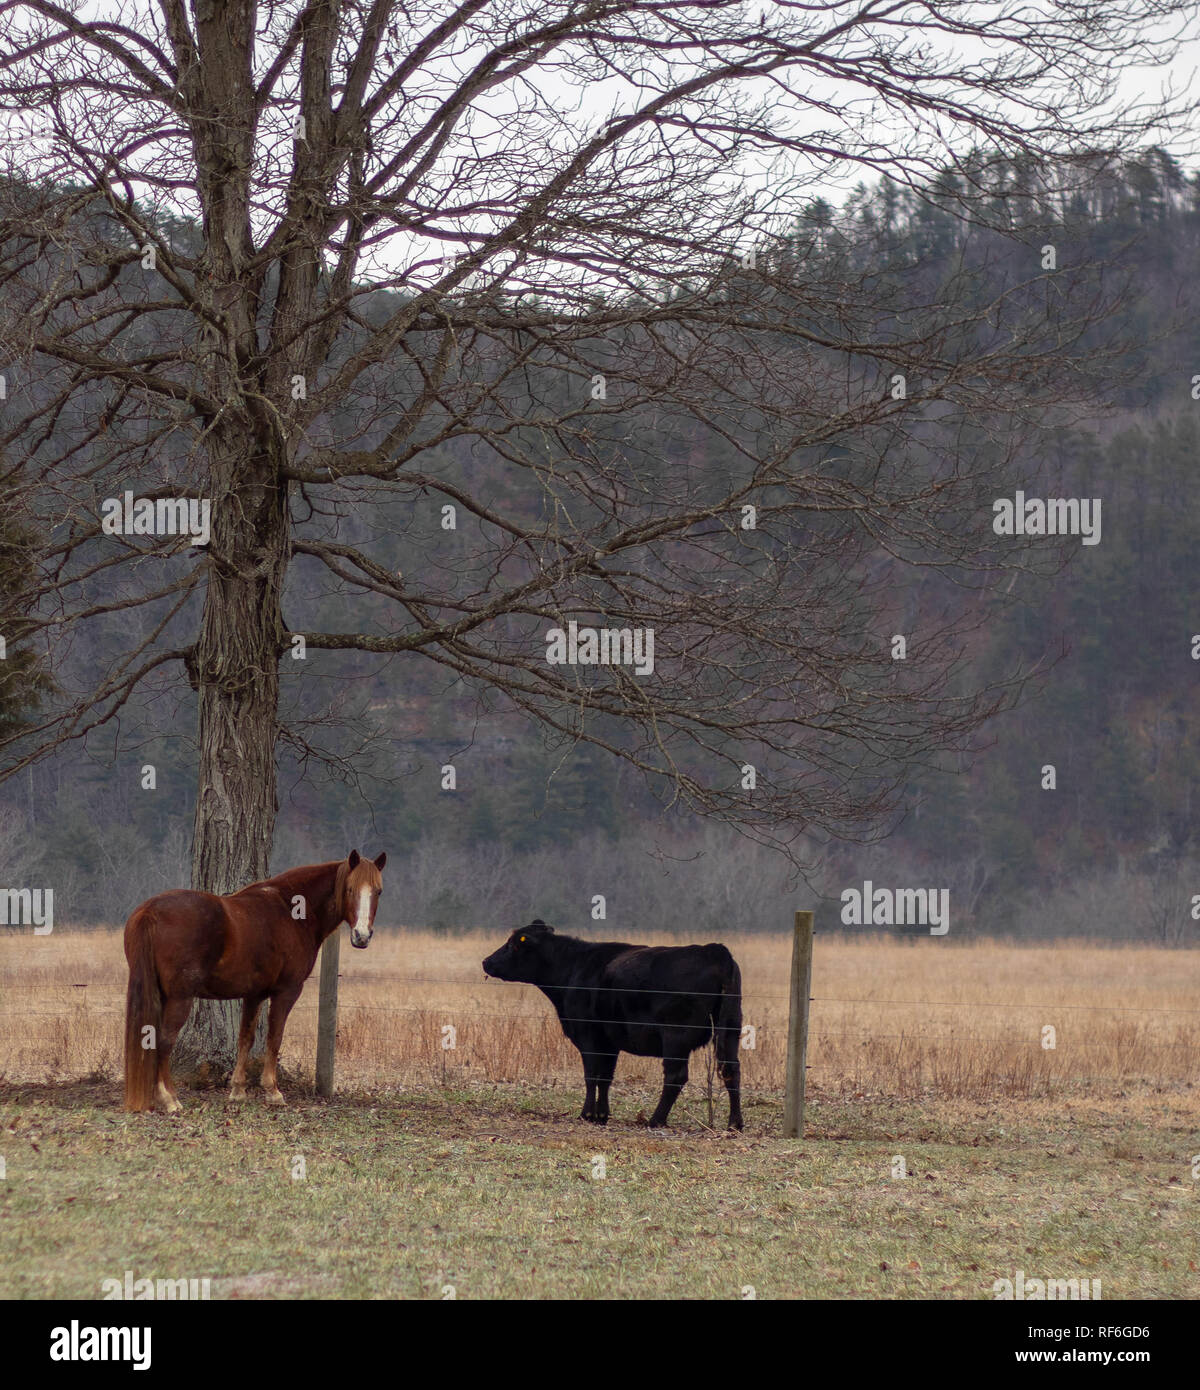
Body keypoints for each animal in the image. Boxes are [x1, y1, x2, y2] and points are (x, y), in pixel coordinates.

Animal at [123, 850, 383, 1112]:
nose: (362, 936)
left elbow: (245, 1039)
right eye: (349, 889)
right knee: (164, 1041)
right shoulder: (286, 992)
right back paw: (169, 1099)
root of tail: (150, 911)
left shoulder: (254, 994)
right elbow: (274, 1038)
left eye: (378, 891)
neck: (291, 911)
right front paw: (273, 1092)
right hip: (180, 998)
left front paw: (238, 1090)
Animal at [478, 922, 739, 1128]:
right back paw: (735, 1123)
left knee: (675, 1076)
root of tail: (714, 950)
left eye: (513, 944)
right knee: (731, 1070)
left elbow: (592, 1075)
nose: (486, 961)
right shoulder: (609, 1043)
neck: (573, 969)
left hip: (676, 1037)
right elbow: (605, 1077)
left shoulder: (588, 1035)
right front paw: (601, 1115)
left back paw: (655, 1119)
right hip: (731, 1030)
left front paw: (586, 1114)